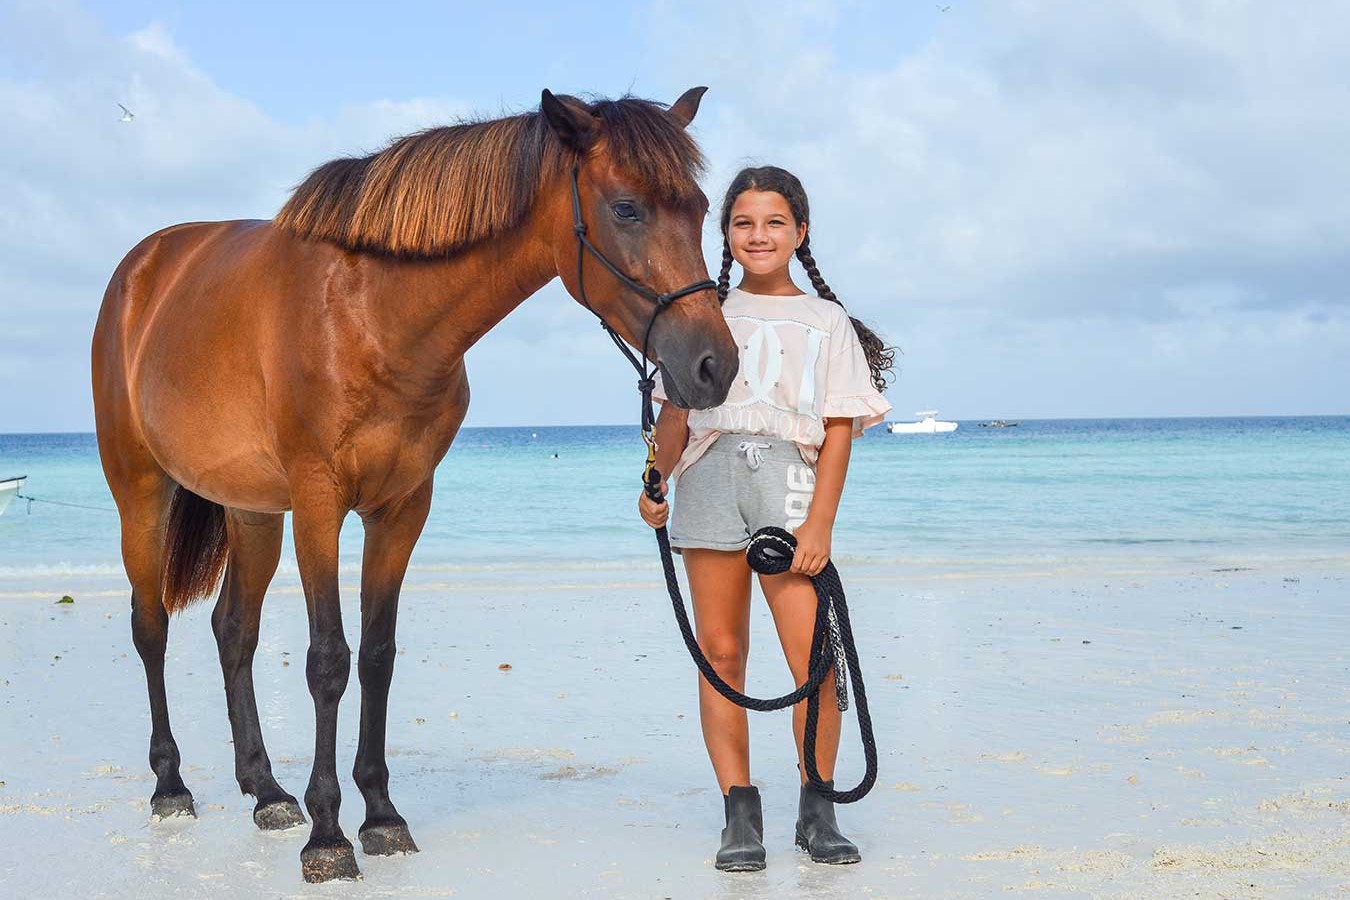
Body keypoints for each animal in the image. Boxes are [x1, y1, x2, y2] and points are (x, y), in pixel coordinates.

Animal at [91, 87, 737, 883]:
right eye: (625, 209)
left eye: (700, 207)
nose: (715, 366)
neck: (371, 313)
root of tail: (141, 269)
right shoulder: (319, 504)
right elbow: (329, 660)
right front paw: (329, 837)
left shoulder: (401, 508)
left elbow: (377, 655)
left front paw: (380, 816)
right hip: (141, 492)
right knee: (150, 627)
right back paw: (171, 784)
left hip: (250, 512)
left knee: (233, 631)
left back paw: (266, 790)